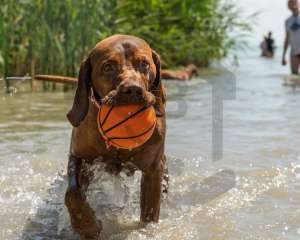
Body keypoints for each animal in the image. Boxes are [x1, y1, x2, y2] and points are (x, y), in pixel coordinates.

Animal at [65, 34, 166, 239]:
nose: (133, 89)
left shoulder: (153, 169)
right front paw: (87, 225)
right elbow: (72, 194)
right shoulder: (79, 156)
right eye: (108, 67)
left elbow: (150, 213)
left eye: (144, 64)